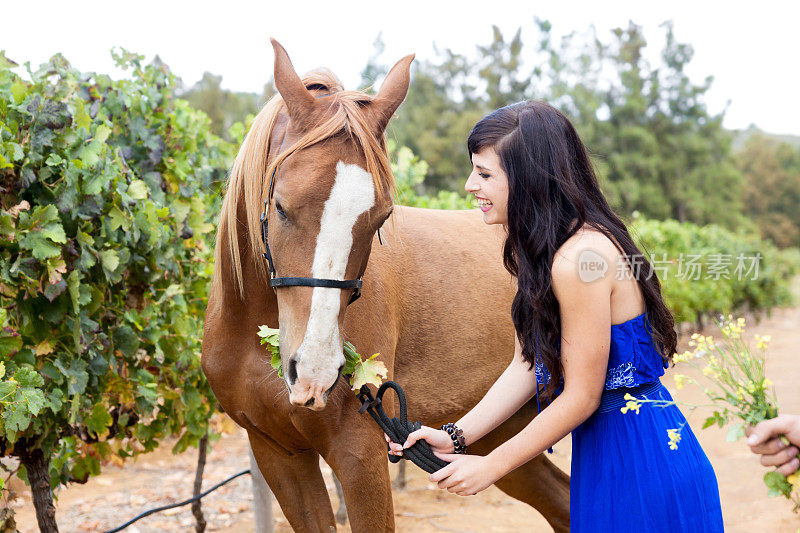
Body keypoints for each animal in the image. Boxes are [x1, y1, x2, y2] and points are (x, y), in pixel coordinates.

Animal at [203, 39, 572, 528]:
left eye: (380, 218)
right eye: (280, 206)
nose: (315, 372)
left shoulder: (361, 454)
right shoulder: (277, 453)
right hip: (498, 433)